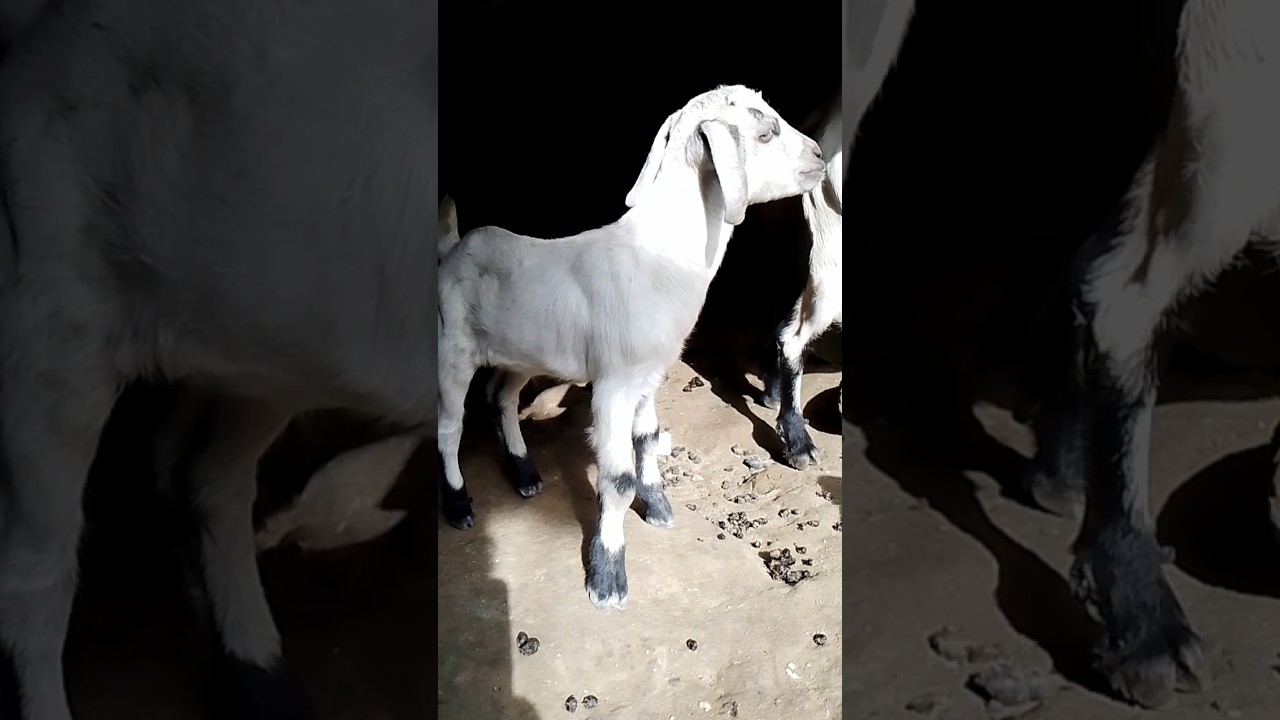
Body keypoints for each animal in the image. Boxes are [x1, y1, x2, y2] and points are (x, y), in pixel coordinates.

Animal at [437, 85, 825, 610]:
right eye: (765, 132)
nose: (820, 155)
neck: (660, 256)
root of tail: (453, 249)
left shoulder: (649, 374)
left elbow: (647, 439)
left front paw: (658, 506)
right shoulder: (614, 384)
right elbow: (616, 480)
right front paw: (607, 577)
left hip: (521, 349)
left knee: (500, 396)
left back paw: (524, 473)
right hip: (452, 348)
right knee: (450, 426)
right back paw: (459, 503)